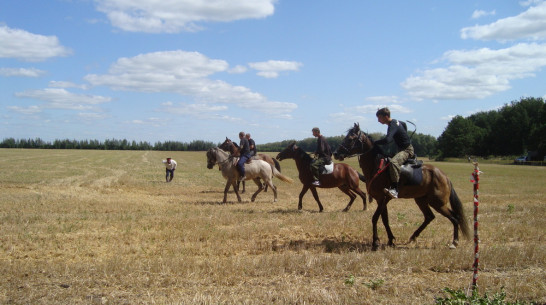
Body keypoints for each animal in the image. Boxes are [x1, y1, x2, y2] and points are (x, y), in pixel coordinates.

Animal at [332, 123, 468, 249]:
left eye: (351, 138)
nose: (336, 153)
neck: (376, 166)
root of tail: (445, 177)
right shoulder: (382, 200)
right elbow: (385, 219)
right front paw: (390, 239)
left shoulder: (382, 198)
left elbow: (375, 218)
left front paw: (375, 242)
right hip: (422, 200)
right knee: (429, 217)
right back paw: (413, 237)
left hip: (438, 202)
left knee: (454, 218)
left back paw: (454, 242)